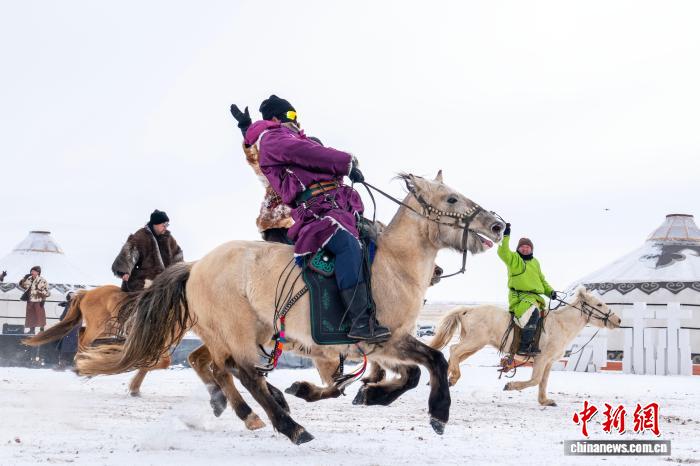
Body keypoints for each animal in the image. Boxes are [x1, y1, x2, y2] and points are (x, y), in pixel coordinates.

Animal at [23, 285, 170, 396]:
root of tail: (87, 293)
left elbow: (162, 362)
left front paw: (135, 387)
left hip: (107, 328)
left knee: (81, 333)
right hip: (99, 326)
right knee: (84, 339)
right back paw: (81, 363)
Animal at [76, 171, 505, 444]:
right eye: (451, 198)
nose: (499, 226)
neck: (392, 266)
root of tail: (197, 266)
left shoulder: (381, 345)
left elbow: (409, 374)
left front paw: (369, 395)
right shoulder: (382, 340)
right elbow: (434, 361)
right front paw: (438, 414)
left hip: (239, 333)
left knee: (222, 368)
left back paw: (257, 411)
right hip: (238, 333)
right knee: (244, 373)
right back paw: (288, 425)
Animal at [429, 287, 621, 406]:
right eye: (598, 304)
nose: (618, 320)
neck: (560, 324)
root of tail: (467, 310)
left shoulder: (548, 362)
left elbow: (543, 382)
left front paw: (545, 401)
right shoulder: (541, 359)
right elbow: (535, 380)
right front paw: (510, 386)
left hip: (474, 345)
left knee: (455, 355)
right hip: (475, 341)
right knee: (454, 350)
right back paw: (453, 378)